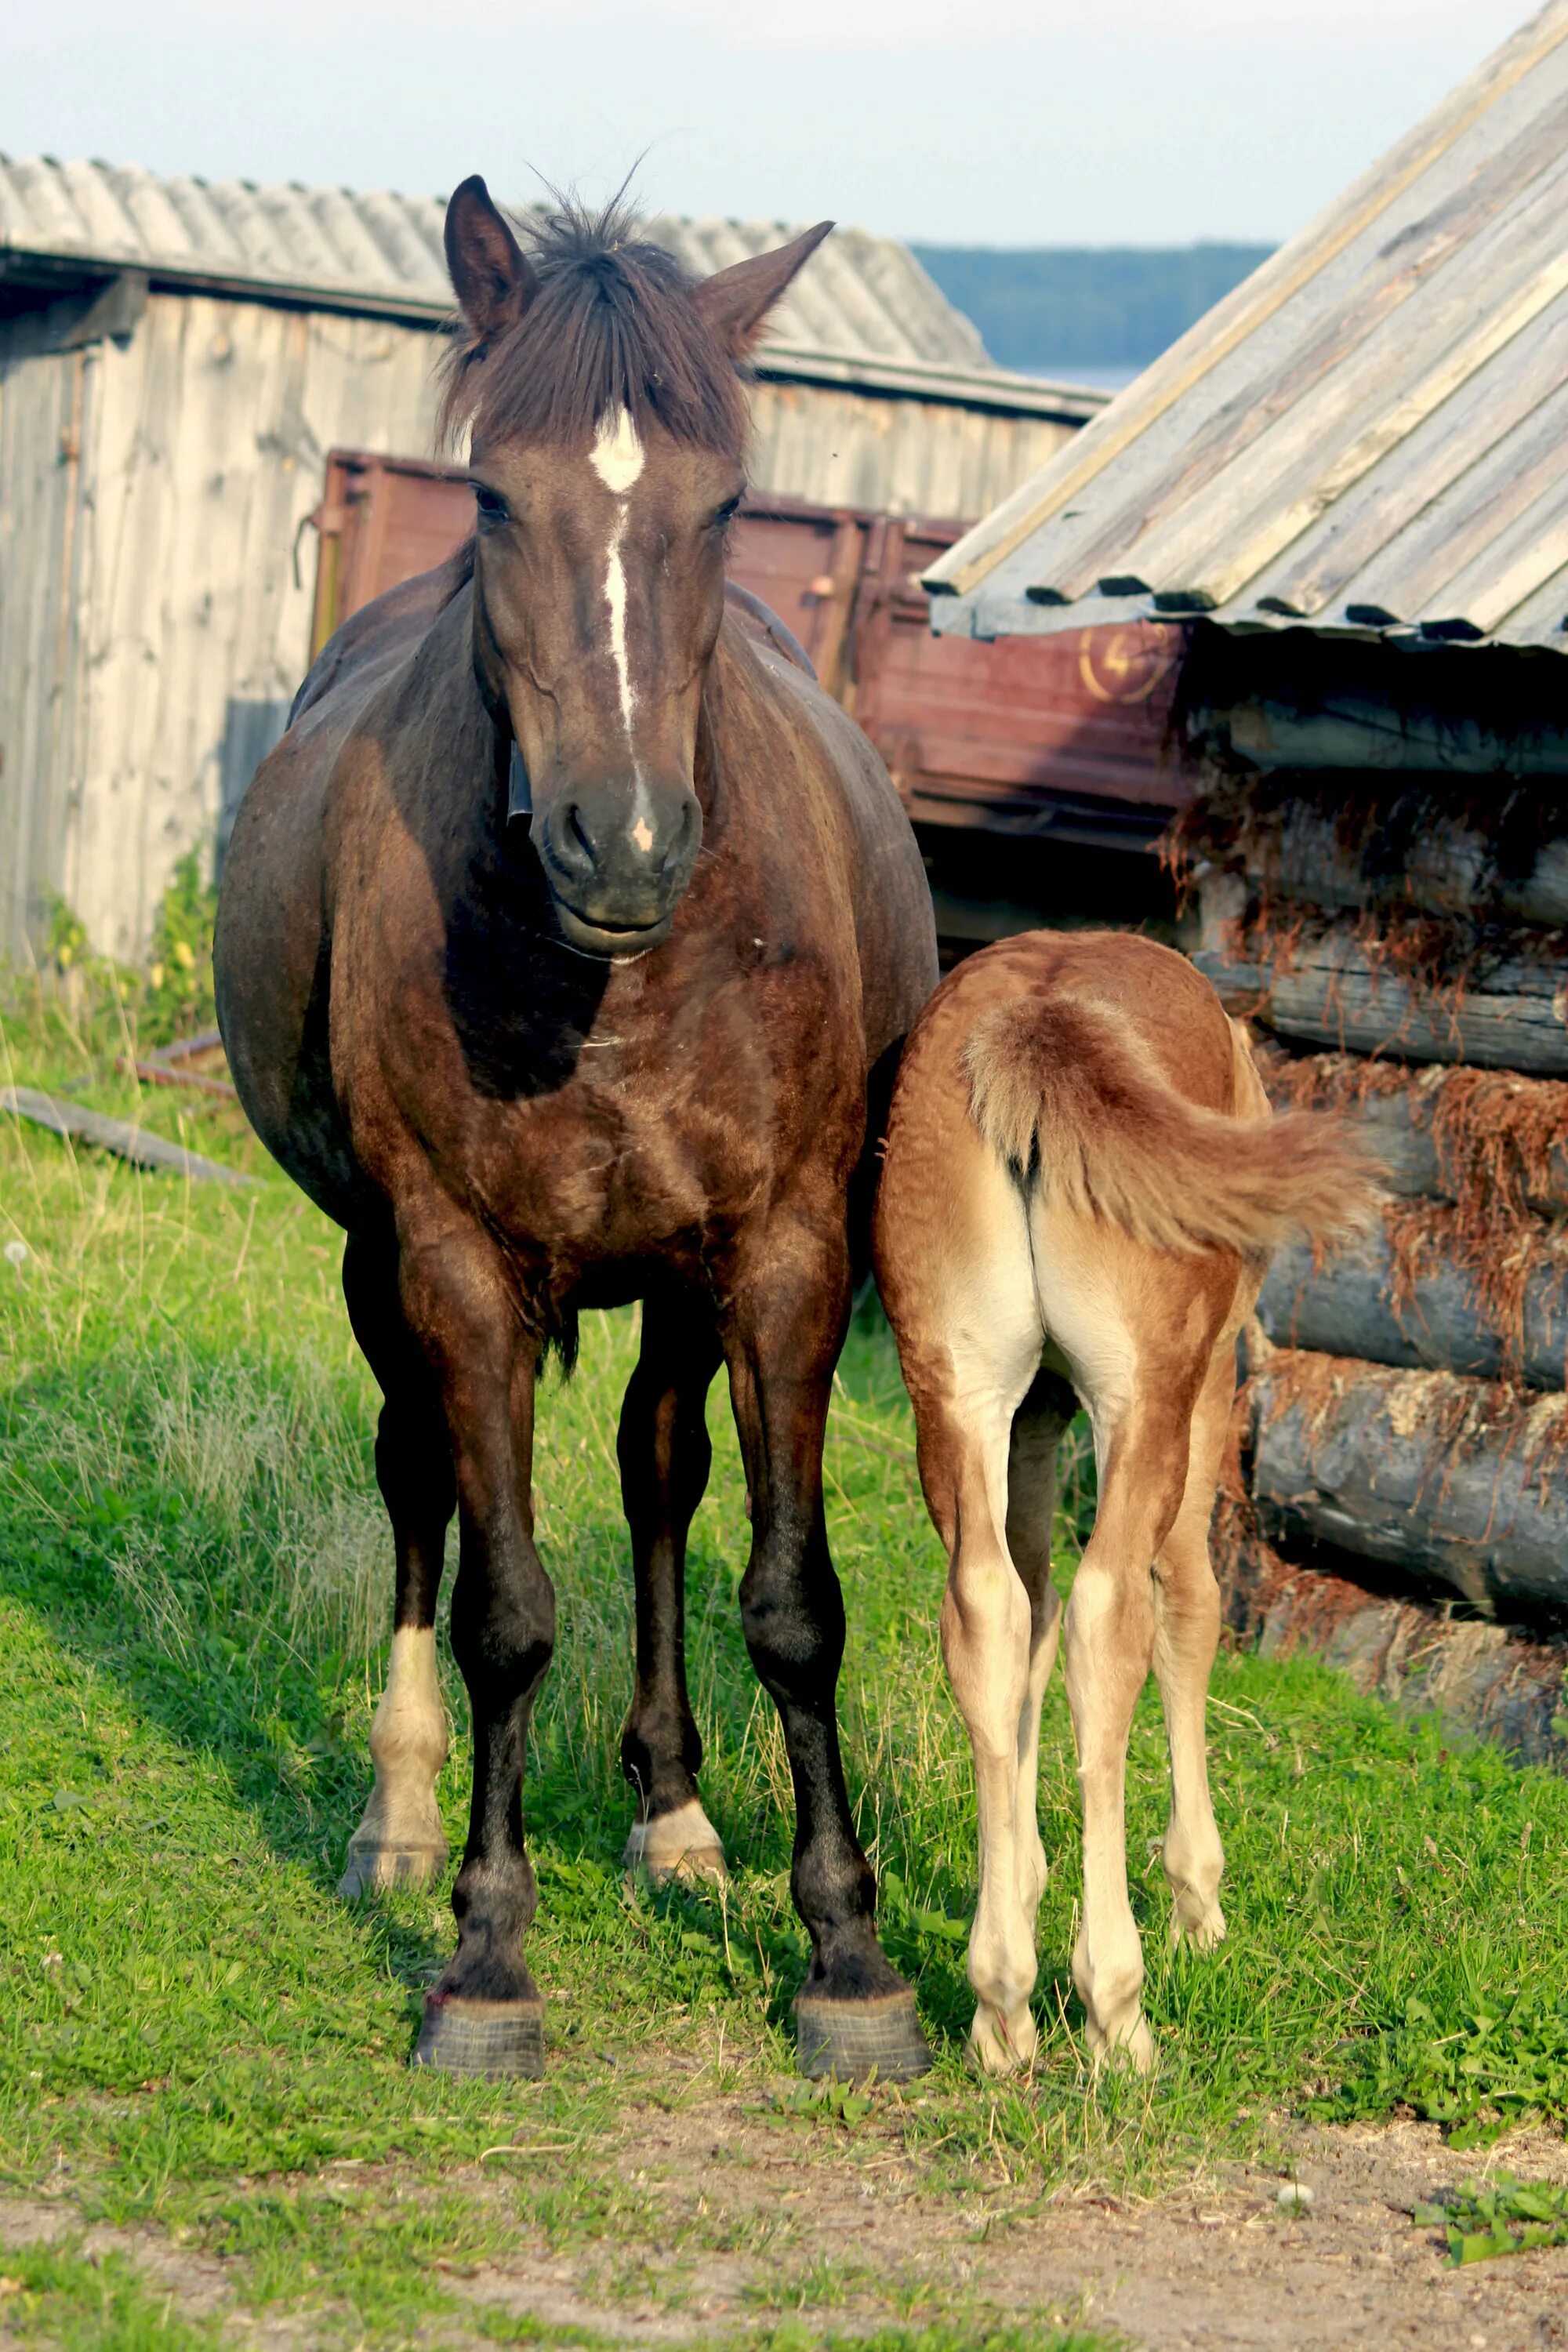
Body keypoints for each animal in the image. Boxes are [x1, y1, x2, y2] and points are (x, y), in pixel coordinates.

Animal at [215, 193, 940, 2089]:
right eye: (489, 496)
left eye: (729, 504)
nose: (622, 843)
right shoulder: (455, 1262)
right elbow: (504, 1611)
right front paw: (484, 1956)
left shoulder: (784, 1256)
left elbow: (792, 1600)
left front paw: (848, 1953)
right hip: (380, 1265)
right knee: (416, 1480)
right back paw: (397, 1818)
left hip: (678, 1286)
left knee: (656, 1475)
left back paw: (674, 1820)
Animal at [869, 927, 1373, 2070]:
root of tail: (1041, 1021)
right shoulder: (1203, 1390)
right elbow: (1189, 1606)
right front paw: (1198, 1907)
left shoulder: (1032, 1420)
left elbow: (1029, 1609)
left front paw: (1021, 1878)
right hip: (1151, 1397)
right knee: (1116, 1615)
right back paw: (1115, 2005)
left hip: (957, 1390)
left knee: (989, 1609)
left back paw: (1002, 2007)